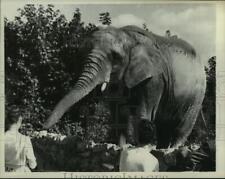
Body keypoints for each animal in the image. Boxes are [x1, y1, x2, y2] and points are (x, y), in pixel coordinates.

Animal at [43, 24, 207, 148]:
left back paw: (171, 149)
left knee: (181, 128)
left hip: (197, 96)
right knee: (163, 129)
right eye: (84, 52)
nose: (43, 126)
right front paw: (121, 147)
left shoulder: (154, 79)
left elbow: (143, 112)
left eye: (115, 57)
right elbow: (117, 114)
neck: (128, 36)